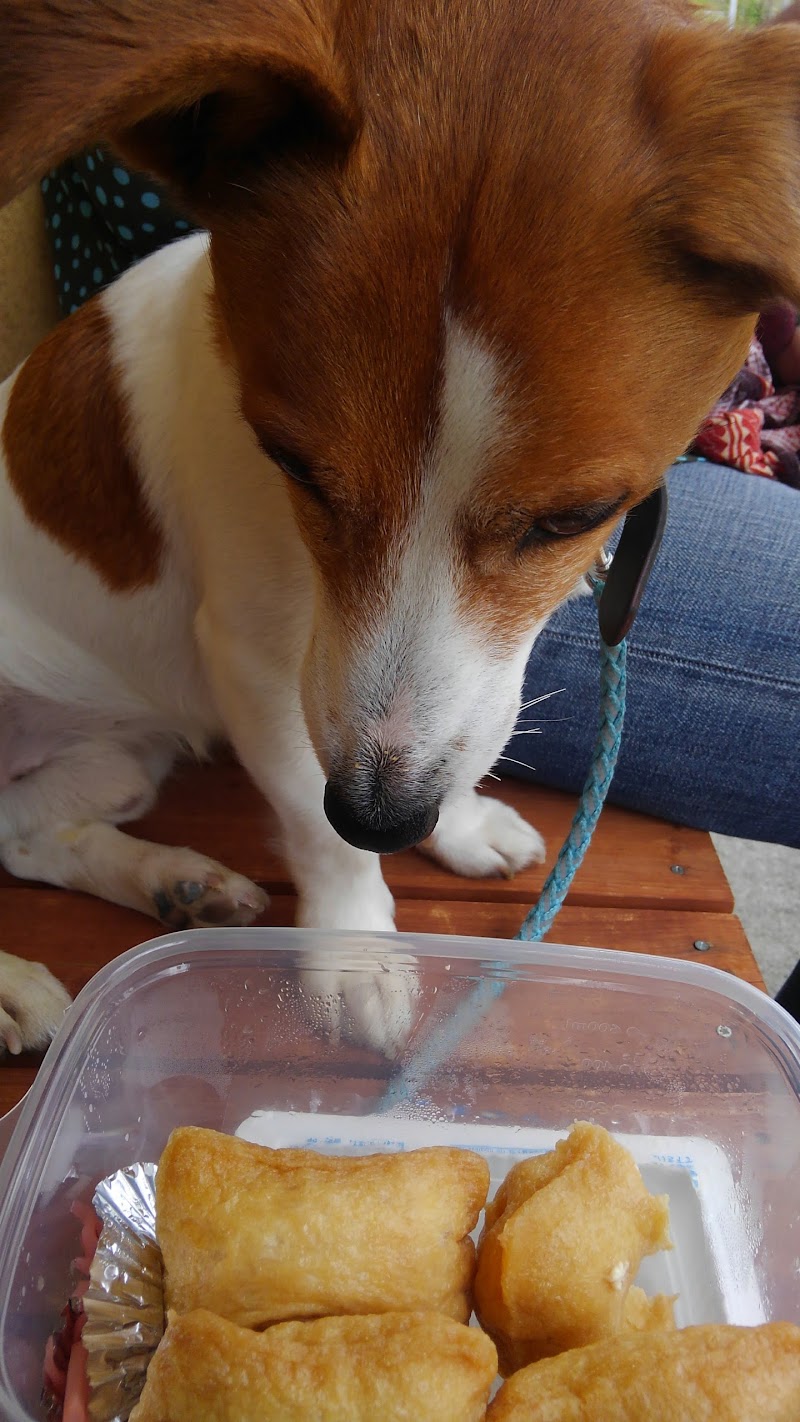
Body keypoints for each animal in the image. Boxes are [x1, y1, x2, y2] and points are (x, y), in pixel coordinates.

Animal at [0, 0, 795, 1057]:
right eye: (292, 463)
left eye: (575, 518)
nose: (386, 821)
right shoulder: (254, 657)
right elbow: (310, 807)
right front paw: (354, 950)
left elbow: (453, 730)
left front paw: (456, 823)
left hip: (118, 759)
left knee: (26, 837)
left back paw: (173, 881)